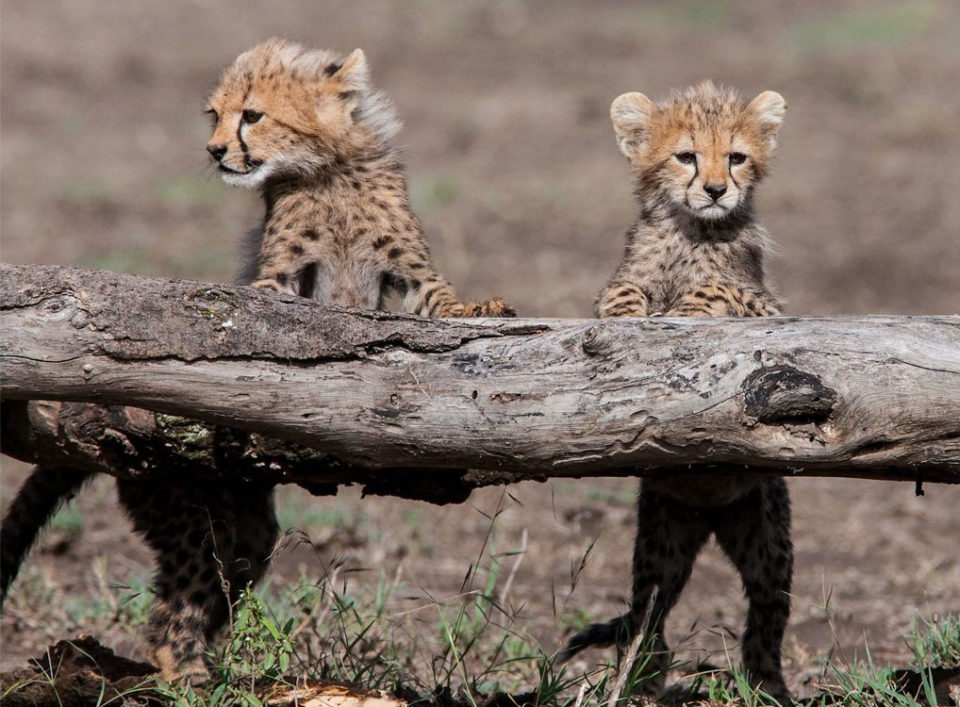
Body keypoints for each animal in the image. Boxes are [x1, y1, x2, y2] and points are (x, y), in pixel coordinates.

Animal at [0, 38, 514, 685]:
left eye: (252, 115)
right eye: (214, 116)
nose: (215, 151)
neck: (325, 171)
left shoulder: (410, 272)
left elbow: (443, 300)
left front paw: (481, 307)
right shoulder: (280, 277)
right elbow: (262, 305)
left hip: (243, 528)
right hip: (187, 509)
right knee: (171, 618)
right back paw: (195, 683)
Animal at [557, 82, 793, 704]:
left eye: (735, 157)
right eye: (685, 156)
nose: (714, 190)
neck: (693, 231)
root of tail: (709, 518)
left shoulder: (771, 308)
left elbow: (717, 290)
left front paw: (689, 303)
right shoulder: (615, 283)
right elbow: (620, 294)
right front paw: (629, 318)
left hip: (765, 541)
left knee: (767, 615)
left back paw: (766, 682)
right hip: (662, 543)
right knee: (649, 613)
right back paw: (641, 674)